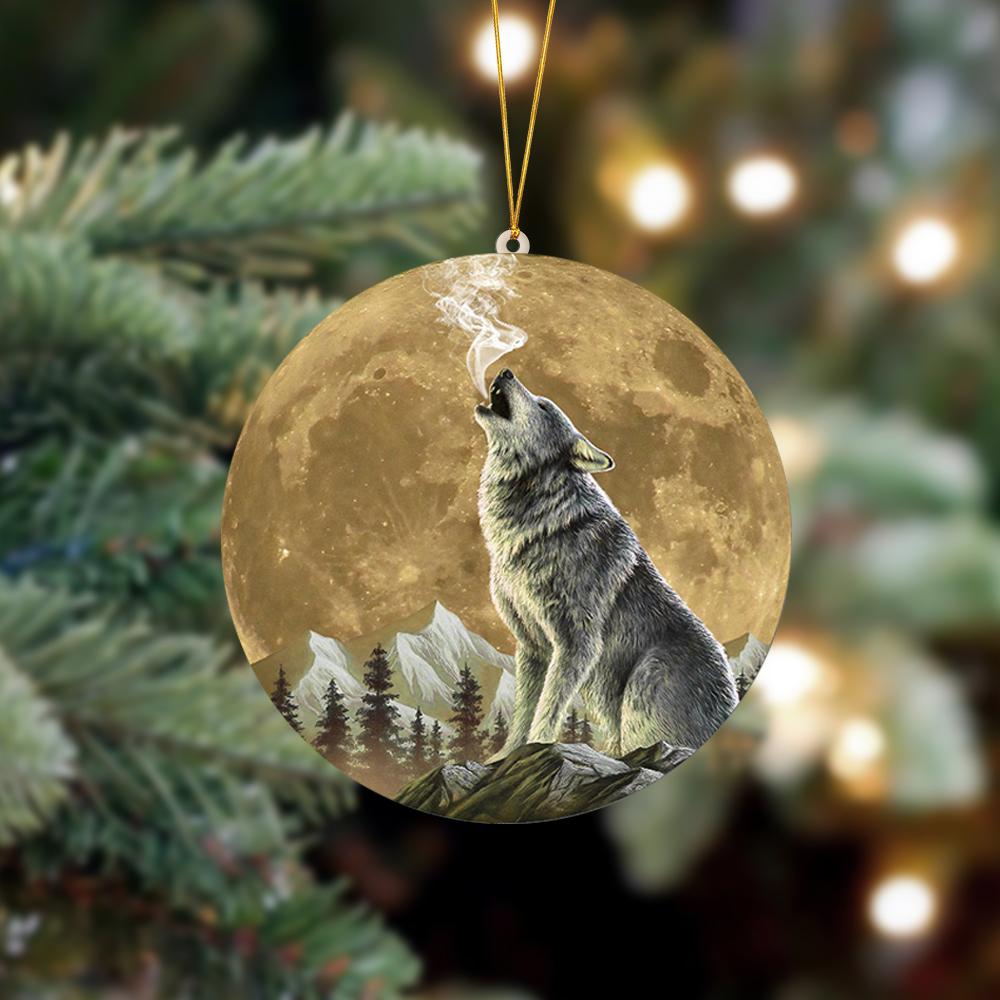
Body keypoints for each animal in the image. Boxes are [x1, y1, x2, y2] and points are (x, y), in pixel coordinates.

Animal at [475, 368, 745, 760]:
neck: (544, 526)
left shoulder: (578, 644)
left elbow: (547, 709)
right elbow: (523, 710)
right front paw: (504, 756)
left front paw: (536, 748)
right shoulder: (532, 646)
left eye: (542, 405)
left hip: (643, 682)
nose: (506, 371)